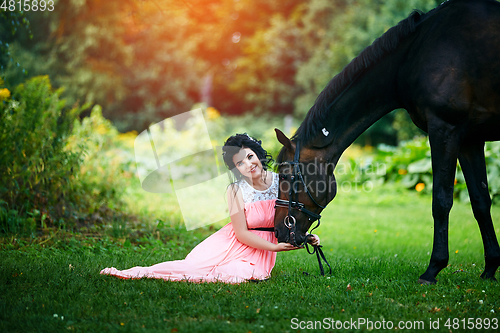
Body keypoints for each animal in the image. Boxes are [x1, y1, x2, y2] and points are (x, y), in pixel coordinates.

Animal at [274, 0, 500, 284]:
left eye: (286, 176)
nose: (278, 231)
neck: (415, 53)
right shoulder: (470, 139)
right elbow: (481, 202)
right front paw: (490, 268)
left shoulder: (444, 131)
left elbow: (441, 201)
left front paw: (433, 268)